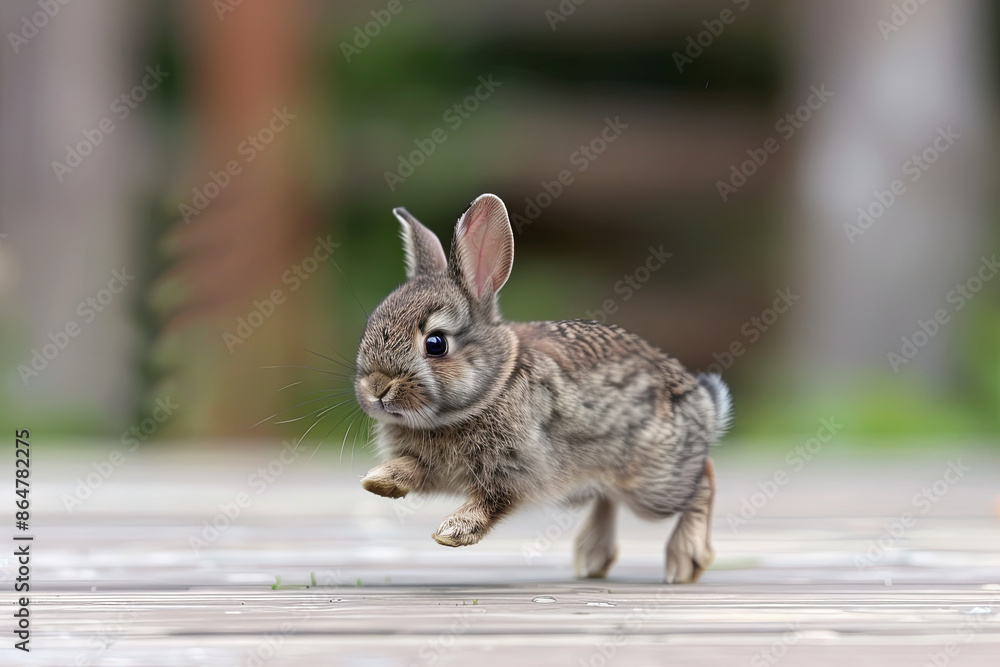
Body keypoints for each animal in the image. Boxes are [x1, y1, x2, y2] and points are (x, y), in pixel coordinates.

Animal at [355, 193, 732, 582]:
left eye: (435, 344)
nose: (376, 387)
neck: (491, 388)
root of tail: (704, 405)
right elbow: (413, 467)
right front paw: (379, 481)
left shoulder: (516, 467)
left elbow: (492, 501)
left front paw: (454, 531)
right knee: (608, 497)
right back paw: (590, 559)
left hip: (653, 486)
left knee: (703, 479)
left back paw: (684, 561)